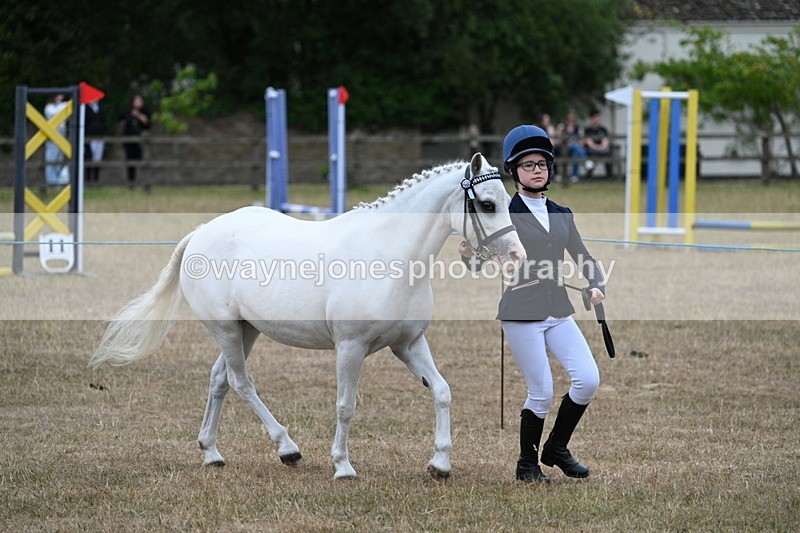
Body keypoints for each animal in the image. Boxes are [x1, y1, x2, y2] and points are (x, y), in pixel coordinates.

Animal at [89, 152, 525, 481]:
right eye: (487, 204)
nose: (517, 257)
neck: (389, 256)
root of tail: (201, 233)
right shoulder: (350, 348)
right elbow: (345, 406)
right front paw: (343, 467)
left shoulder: (408, 344)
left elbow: (442, 391)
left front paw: (440, 464)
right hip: (226, 330)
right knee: (240, 382)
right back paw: (287, 448)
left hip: (246, 331)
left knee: (219, 381)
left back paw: (211, 452)